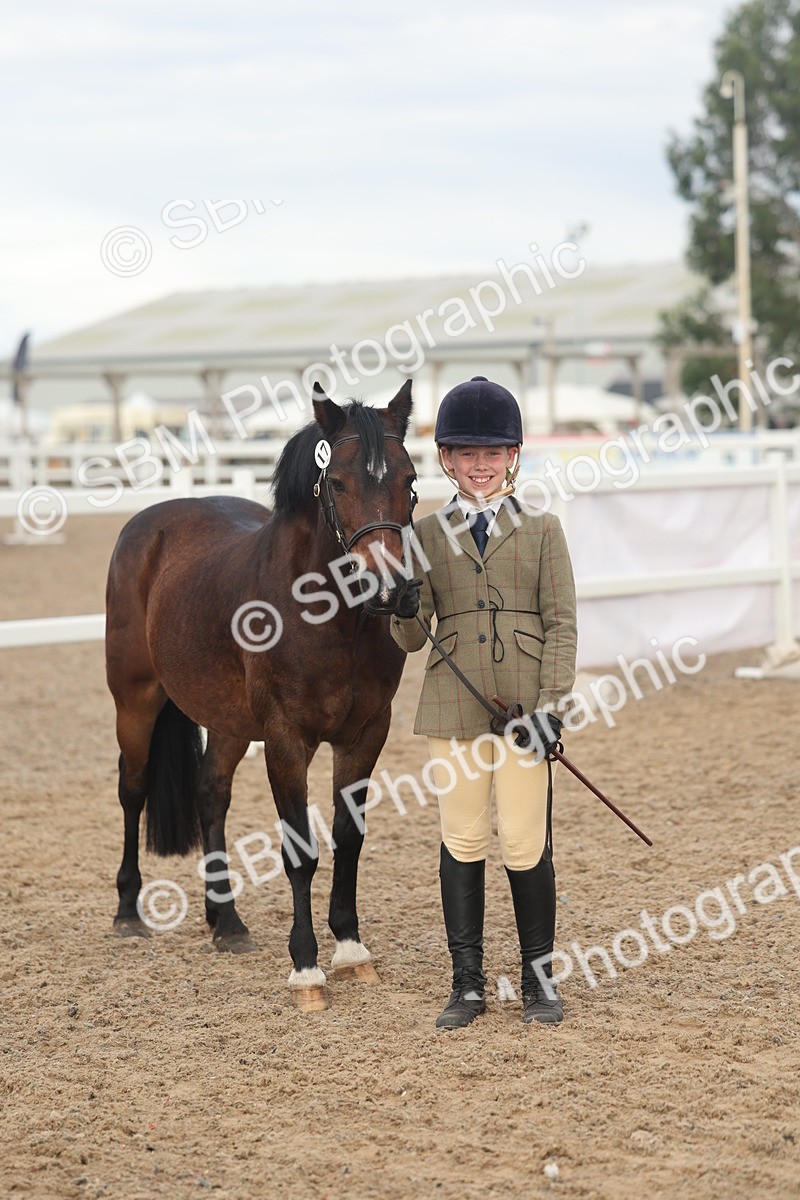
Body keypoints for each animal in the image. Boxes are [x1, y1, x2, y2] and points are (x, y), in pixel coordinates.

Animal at [105, 381, 418, 1010]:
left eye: (411, 479)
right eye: (337, 482)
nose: (389, 591)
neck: (329, 617)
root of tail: (147, 526)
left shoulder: (366, 734)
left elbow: (348, 839)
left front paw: (351, 950)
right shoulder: (285, 738)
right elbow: (300, 851)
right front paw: (307, 969)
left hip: (227, 722)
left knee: (210, 794)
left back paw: (226, 922)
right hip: (135, 700)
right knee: (132, 789)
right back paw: (129, 912)